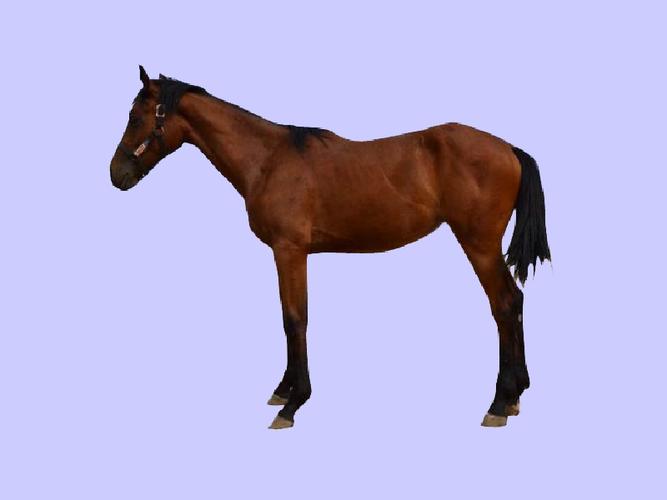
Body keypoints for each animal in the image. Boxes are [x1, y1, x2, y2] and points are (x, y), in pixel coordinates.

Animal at [109, 66, 550, 429]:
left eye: (136, 117)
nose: (117, 174)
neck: (268, 159)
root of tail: (508, 148)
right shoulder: (288, 254)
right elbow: (288, 319)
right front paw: (284, 390)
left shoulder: (289, 251)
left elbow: (295, 320)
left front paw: (293, 403)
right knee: (513, 302)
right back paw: (515, 396)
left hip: (479, 245)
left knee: (504, 305)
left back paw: (499, 402)